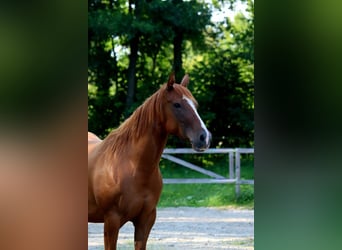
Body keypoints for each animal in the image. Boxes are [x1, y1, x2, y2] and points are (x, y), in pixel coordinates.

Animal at [88, 73, 211, 249]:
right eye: (177, 105)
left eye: (195, 104)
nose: (204, 138)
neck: (132, 167)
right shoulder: (111, 221)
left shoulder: (146, 220)